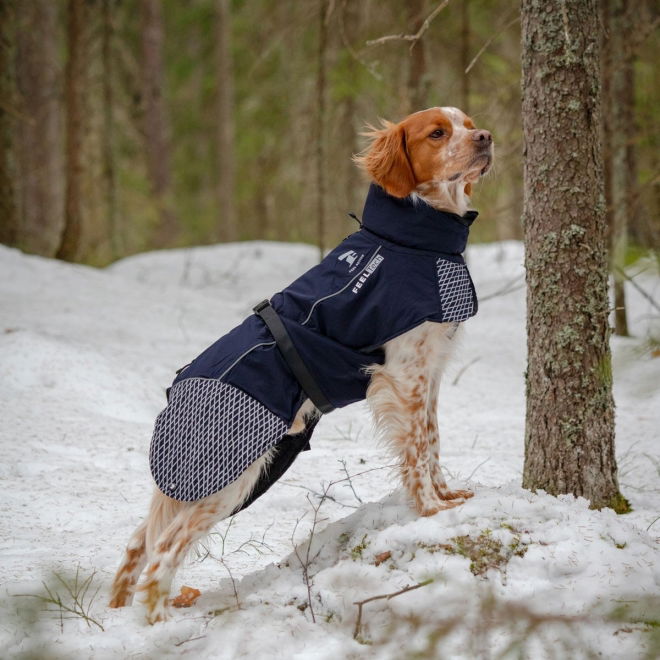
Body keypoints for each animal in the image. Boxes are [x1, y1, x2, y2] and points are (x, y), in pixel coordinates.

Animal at [109, 105, 490, 620]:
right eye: (437, 134)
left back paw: (116, 613)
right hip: (232, 479)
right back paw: (159, 621)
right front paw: (432, 510)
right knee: (162, 552)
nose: (486, 138)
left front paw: (448, 496)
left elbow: (431, 442)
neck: (413, 241)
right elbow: (415, 451)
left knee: (137, 542)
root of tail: (172, 400)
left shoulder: (429, 371)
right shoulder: (404, 372)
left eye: (469, 124)